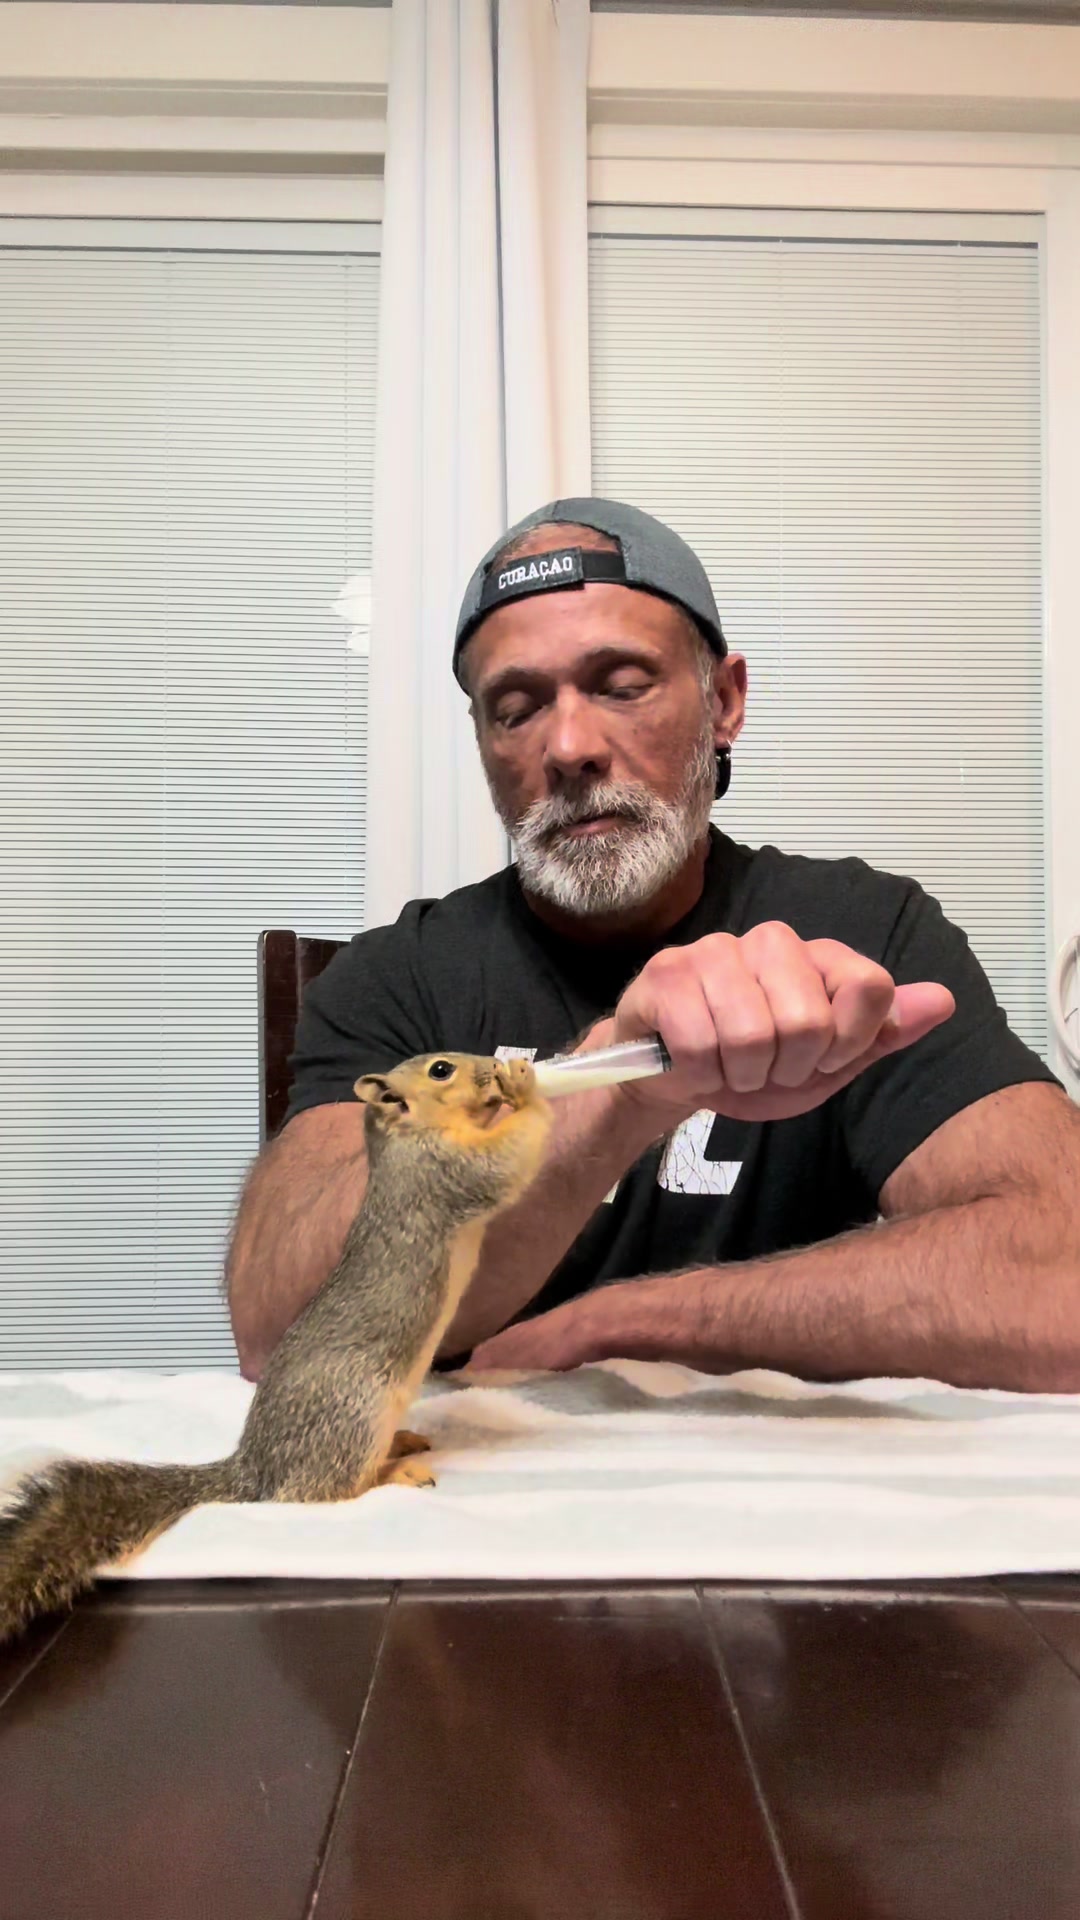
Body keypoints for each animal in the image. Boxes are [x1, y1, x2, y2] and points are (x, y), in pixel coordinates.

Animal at [0, 1052, 551, 1644]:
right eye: (442, 1070)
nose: (493, 1066)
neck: (404, 1139)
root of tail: (253, 1468)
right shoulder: (446, 1172)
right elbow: (507, 1161)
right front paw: (526, 1089)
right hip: (354, 1412)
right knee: (319, 1492)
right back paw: (391, 1474)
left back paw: (401, 1444)